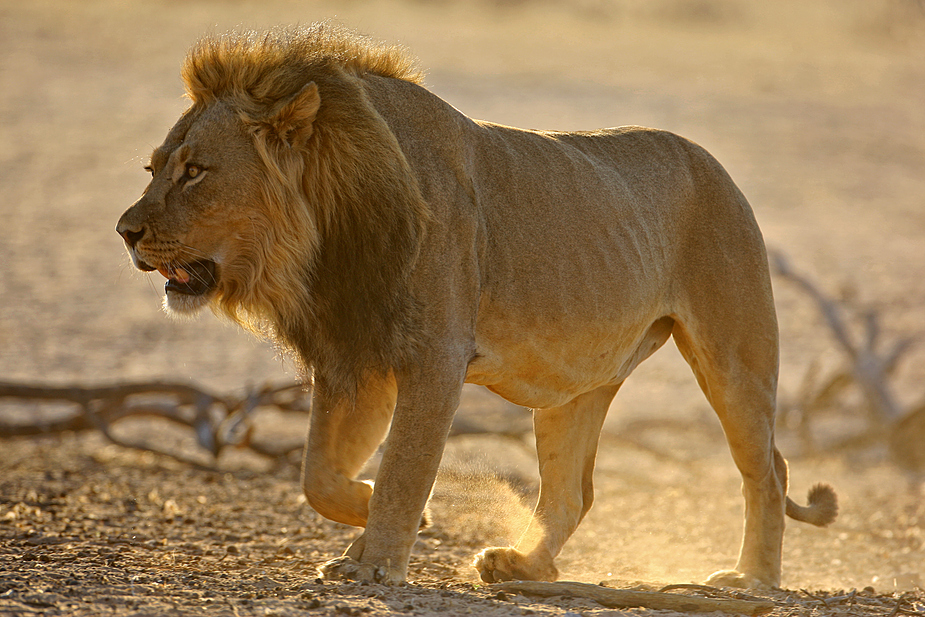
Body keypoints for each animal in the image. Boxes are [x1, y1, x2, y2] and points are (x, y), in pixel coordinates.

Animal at [117, 25, 836, 588]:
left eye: (195, 171)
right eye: (153, 168)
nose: (125, 231)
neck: (321, 241)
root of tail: (716, 167)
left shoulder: (433, 356)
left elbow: (406, 465)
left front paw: (375, 562)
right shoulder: (355, 354)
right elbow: (317, 472)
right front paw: (370, 516)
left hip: (734, 355)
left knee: (766, 473)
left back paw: (752, 578)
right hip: (575, 386)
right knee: (572, 493)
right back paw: (520, 564)